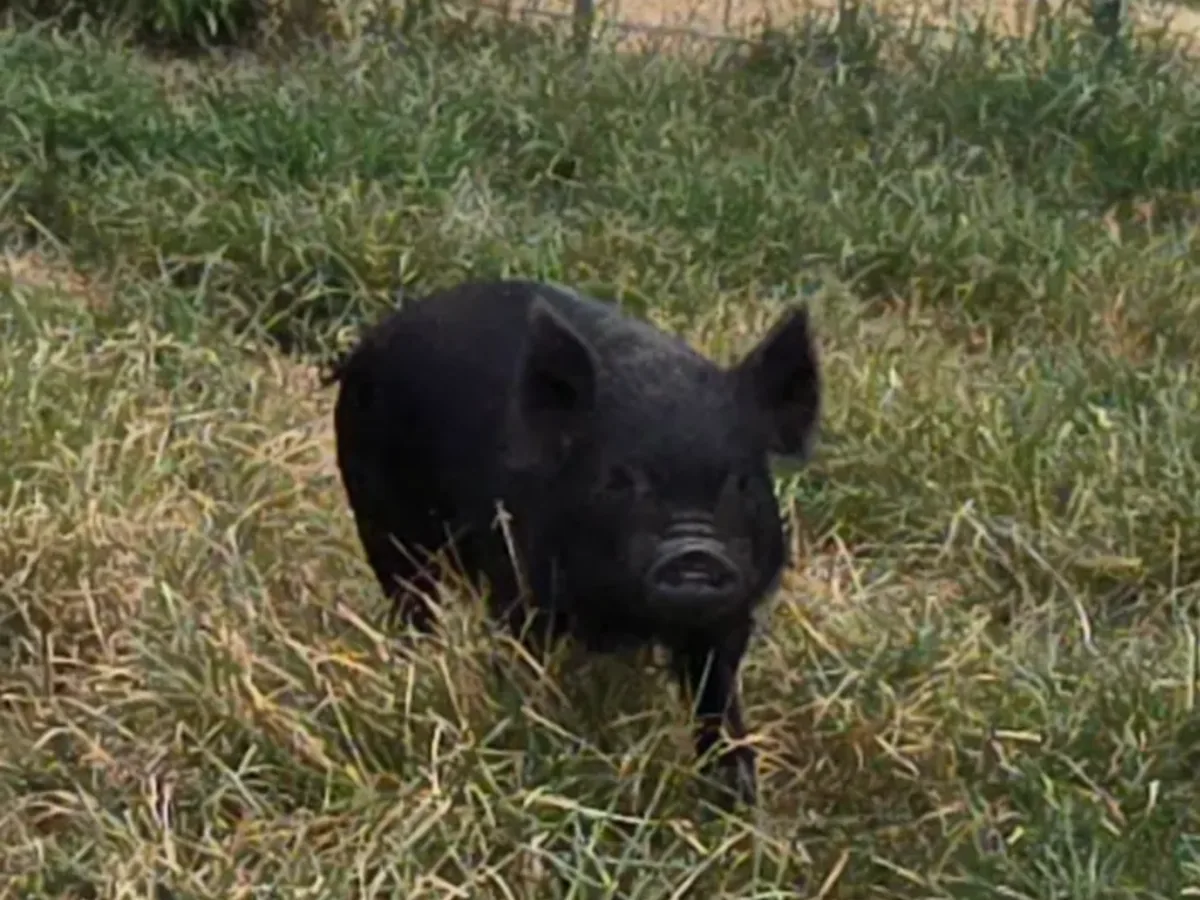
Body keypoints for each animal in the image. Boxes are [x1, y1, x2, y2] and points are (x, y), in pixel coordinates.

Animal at [326, 279, 821, 808]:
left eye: (742, 482)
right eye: (618, 479)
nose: (694, 553)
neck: (623, 620)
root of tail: (370, 342)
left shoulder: (729, 618)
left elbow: (719, 703)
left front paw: (741, 807)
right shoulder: (519, 592)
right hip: (380, 520)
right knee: (410, 599)